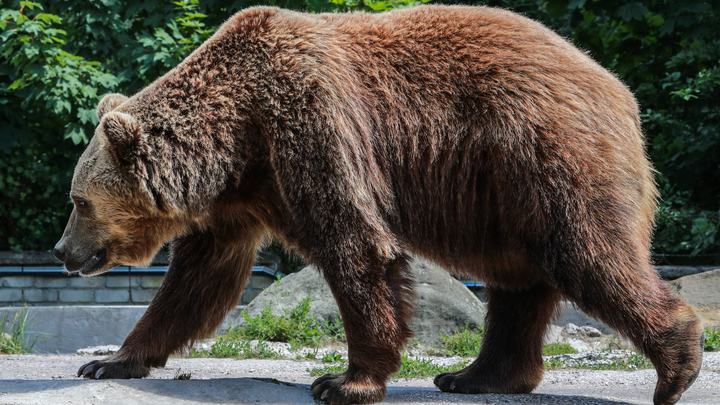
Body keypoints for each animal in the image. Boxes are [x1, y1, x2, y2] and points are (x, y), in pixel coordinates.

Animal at [54, 3, 704, 404]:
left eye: (78, 201)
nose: (62, 250)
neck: (236, 137)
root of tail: (618, 90)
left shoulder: (312, 124)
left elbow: (356, 245)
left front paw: (344, 381)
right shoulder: (239, 196)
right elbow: (196, 281)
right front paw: (112, 360)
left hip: (546, 155)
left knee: (587, 253)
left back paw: (676, 365)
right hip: (502, 197)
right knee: (517, 281)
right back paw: (473, 374)